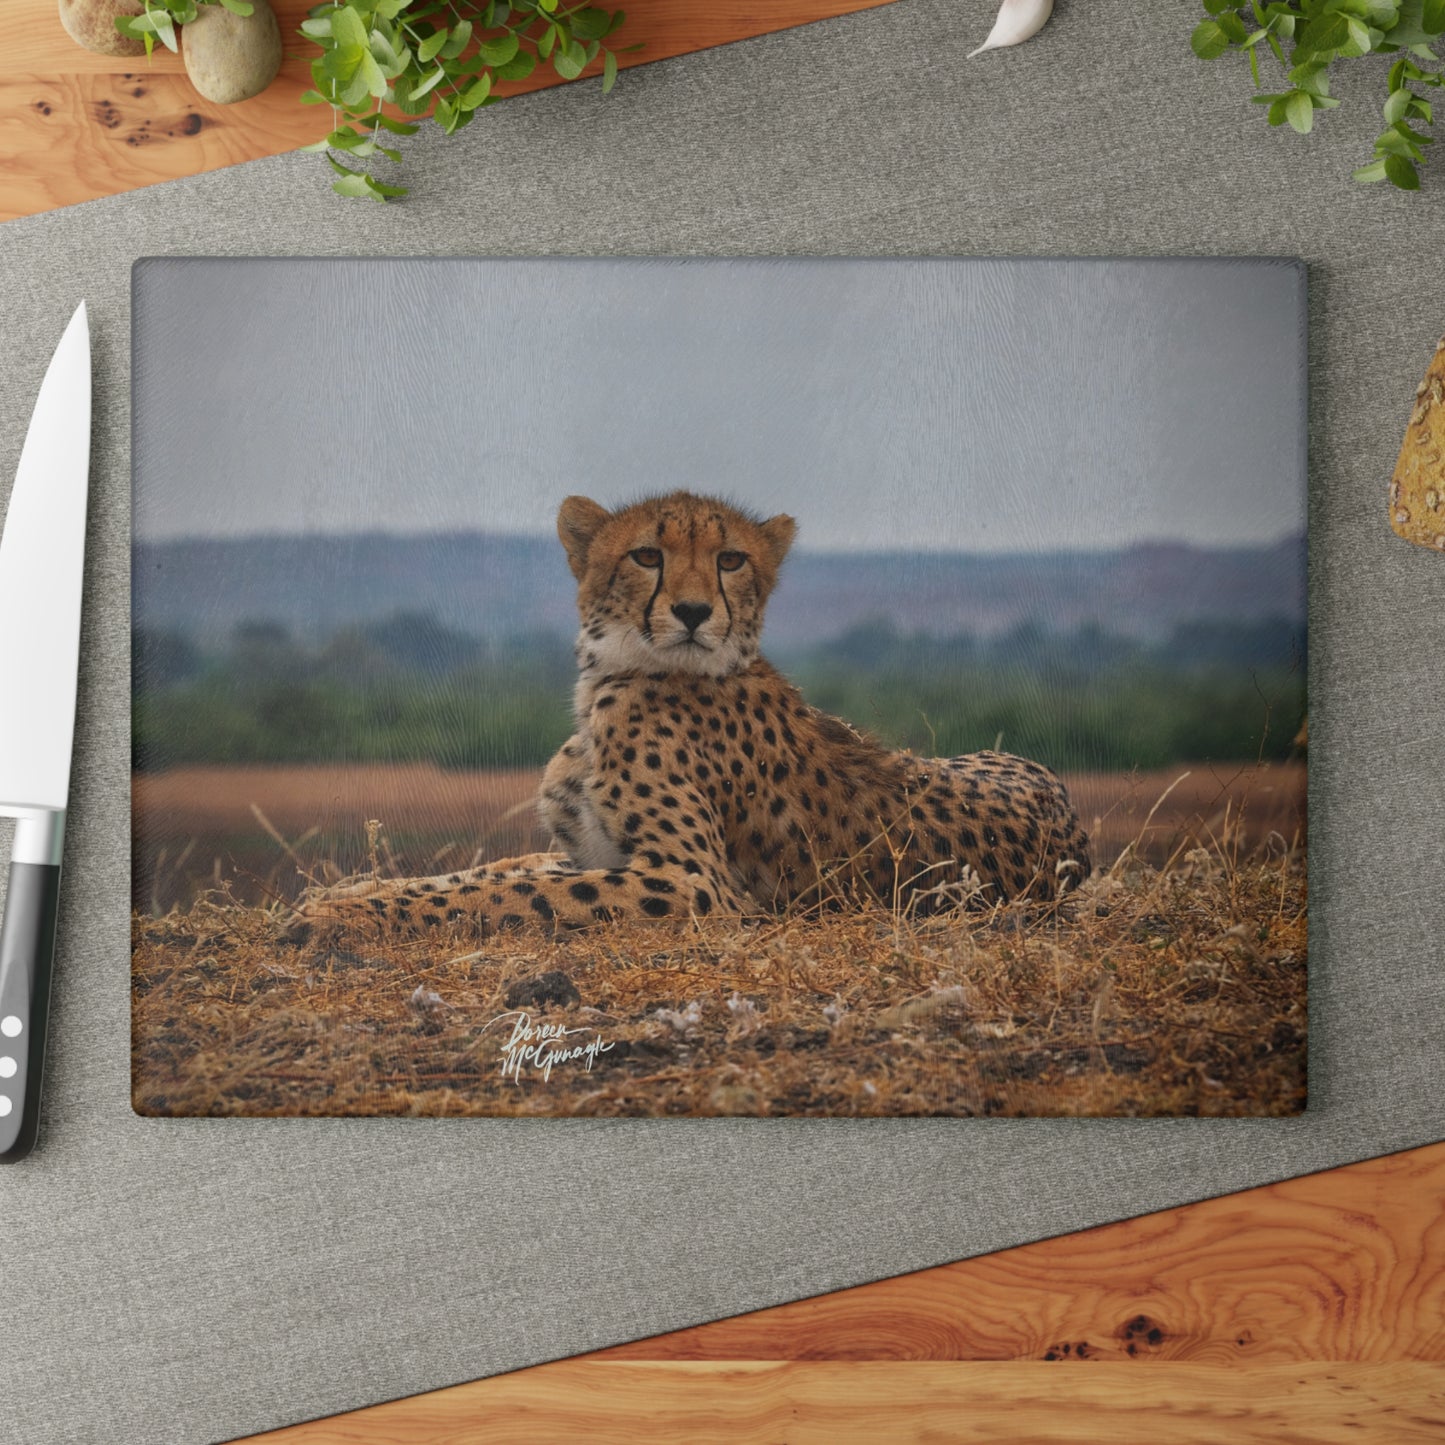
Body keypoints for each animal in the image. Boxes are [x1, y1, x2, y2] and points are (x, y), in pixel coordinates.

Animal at [289, 491, 1091, 942]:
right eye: (646, 554)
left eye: (731, 559)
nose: (694, 610)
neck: (612, 676)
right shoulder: (591, 850)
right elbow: (483, 873)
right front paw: (342, 895)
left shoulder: (692, 882)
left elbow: (514, 891)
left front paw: (337, 917)